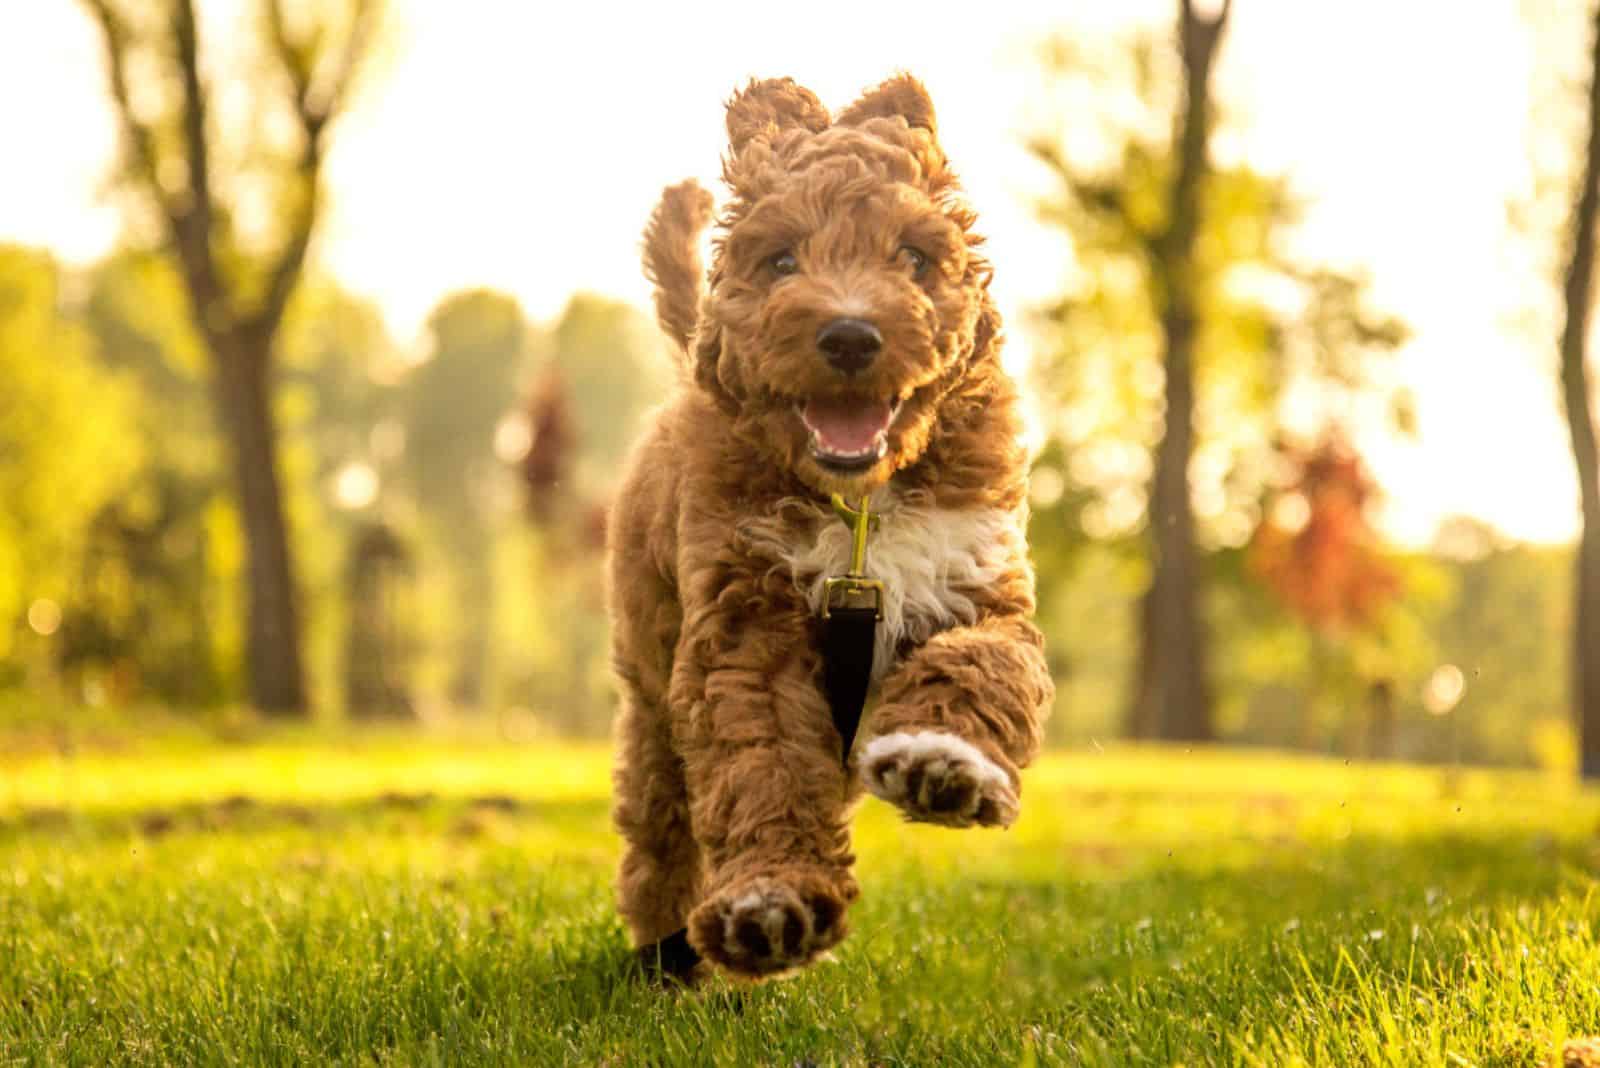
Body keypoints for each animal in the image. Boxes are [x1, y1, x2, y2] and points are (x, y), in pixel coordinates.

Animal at [604, 70, 1056, 978]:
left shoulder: (980, 576)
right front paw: (771, 900)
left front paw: (941, 761)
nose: (850, 334)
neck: (862, 508)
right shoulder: (745, 625)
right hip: (650, 687)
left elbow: (980, 665)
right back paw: (668, 955)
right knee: (661, 825)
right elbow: (765, 762)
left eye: (912, 257)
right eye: (782, 260)